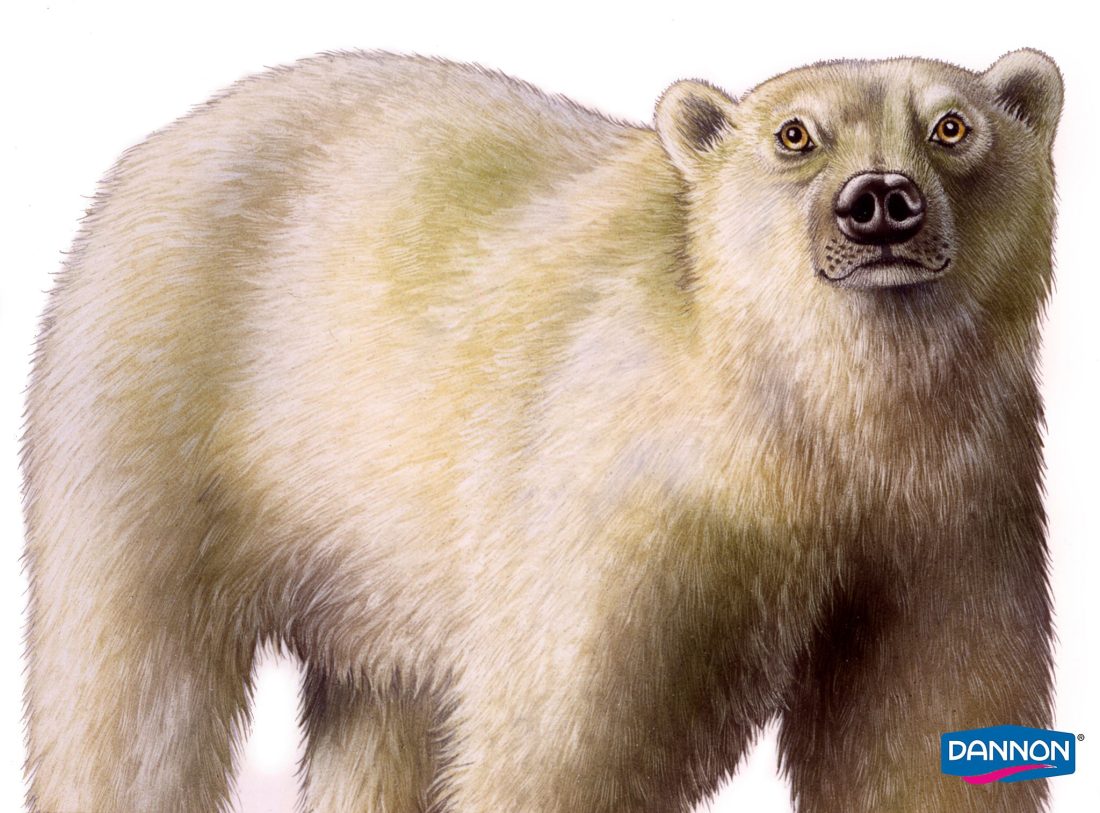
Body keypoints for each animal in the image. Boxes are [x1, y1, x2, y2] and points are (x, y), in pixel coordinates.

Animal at [21, 48, 1062, 812]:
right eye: (794, 134)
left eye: (954, 126)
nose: (879, 200)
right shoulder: (625, 489)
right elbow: (568, 736)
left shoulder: (951, 504)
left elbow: (929, 725)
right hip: (156, 395)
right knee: (129, 684)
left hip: (375, 558)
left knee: (384, 710)